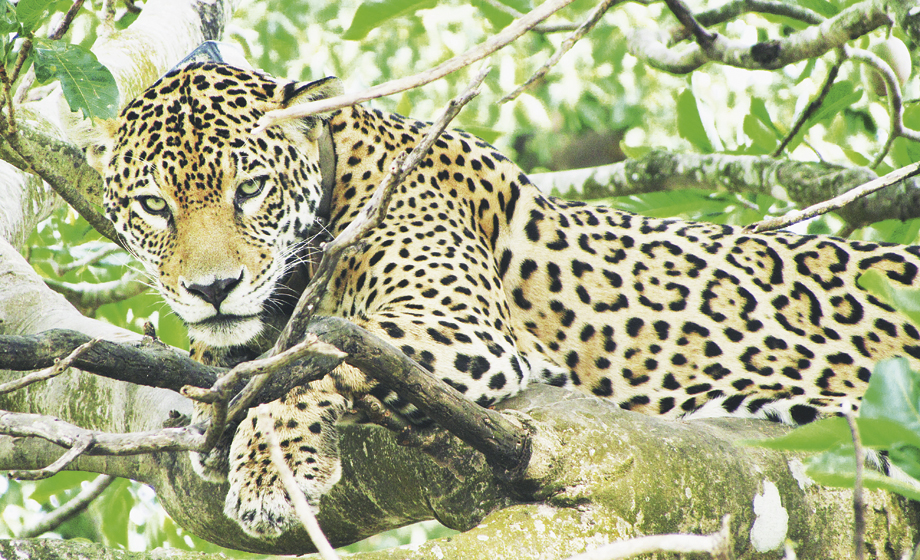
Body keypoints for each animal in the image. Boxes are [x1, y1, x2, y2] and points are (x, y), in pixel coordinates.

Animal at [96, 60, 920, 538]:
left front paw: (273, 471)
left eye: (252, 189)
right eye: (154, 206)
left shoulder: (456, 325)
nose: (213, 289)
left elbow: (305, 366)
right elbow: (240, 364)